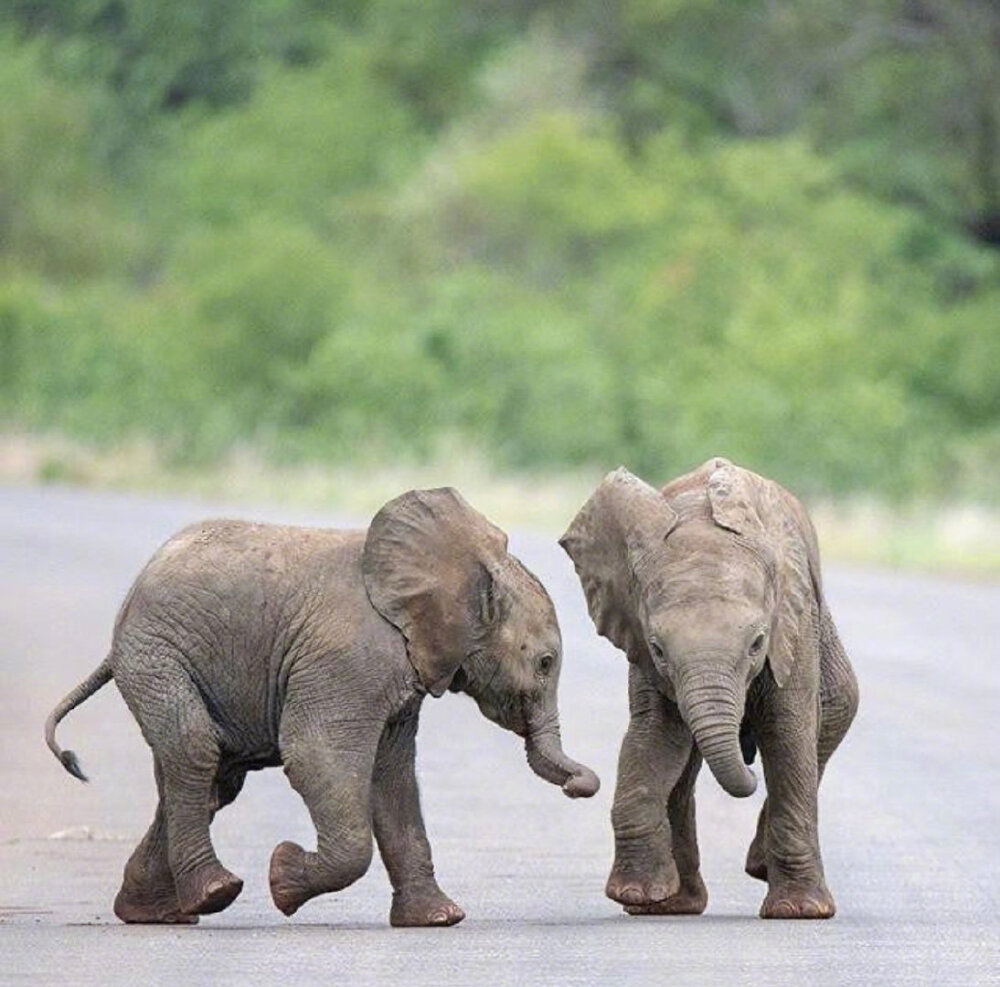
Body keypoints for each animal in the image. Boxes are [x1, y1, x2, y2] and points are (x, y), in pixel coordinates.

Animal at [47, 490, 596, 932]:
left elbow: (392, 778)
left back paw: (152, 912)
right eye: (545, 663)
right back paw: (215, 892)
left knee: (212, 780)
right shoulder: (348, 659)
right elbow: (317, 754)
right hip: (157, 657)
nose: (580, 786)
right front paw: (282, 878)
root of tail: (123, 619)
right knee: (195, 751)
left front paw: (441, 919)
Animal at [564, 460, 860, 924]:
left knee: (835, 711)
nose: (748, 766)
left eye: (757, 643)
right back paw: (672, 906)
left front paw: (800, 911)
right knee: (683, 768)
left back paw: (756, 868)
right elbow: (655, 737)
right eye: (657, 648)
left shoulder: (792, 625)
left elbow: (788, 733)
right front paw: (634, 893)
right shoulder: (640, 642)